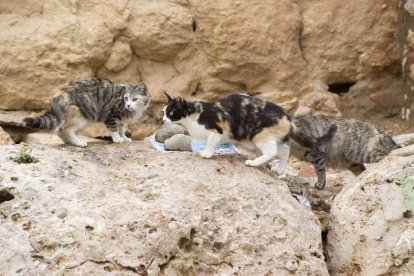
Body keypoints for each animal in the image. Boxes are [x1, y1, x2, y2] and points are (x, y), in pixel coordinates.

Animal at [162, 92, 292, 175]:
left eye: (171, 112)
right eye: (164, 112)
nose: (163, 120)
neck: (193, 116)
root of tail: (287, 116)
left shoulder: (217, 131)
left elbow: (210, 142)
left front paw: (207, 154)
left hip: (259, 136)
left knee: (272, 152)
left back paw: (253, 163)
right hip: (273, 139)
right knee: (285, 150)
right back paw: (280, 170)